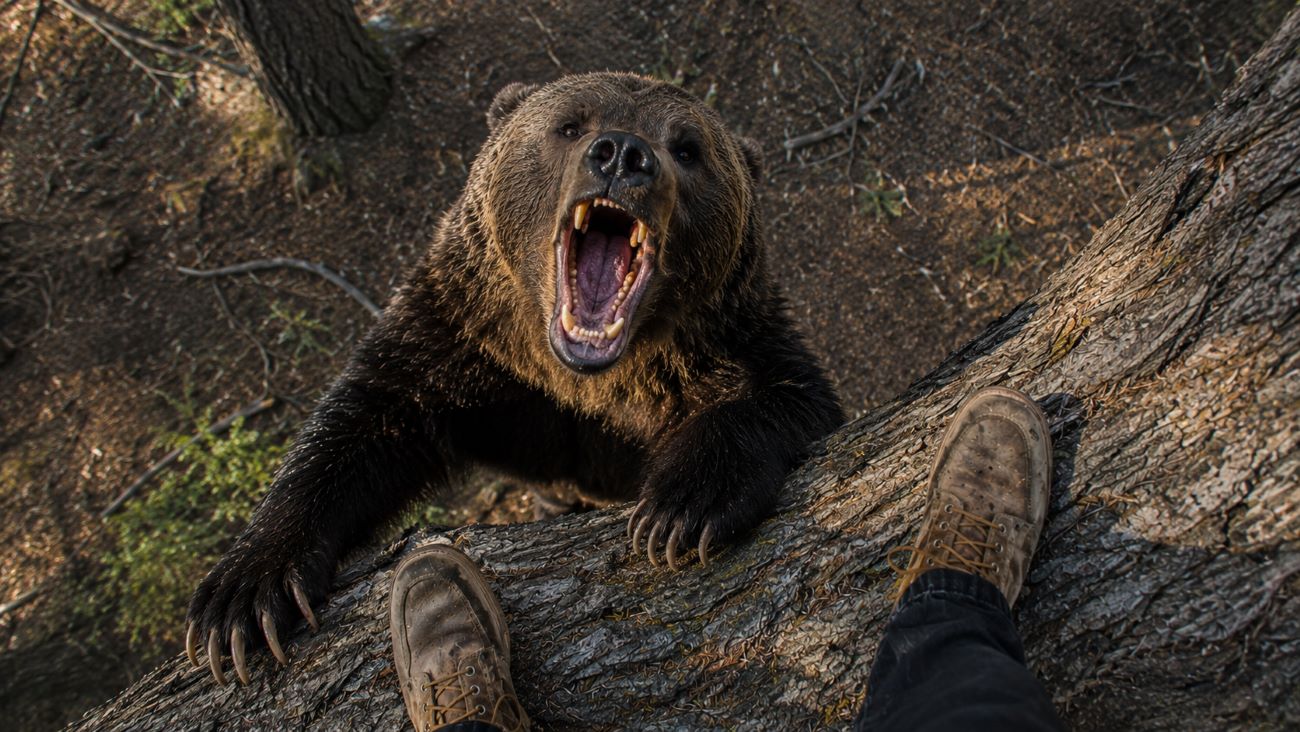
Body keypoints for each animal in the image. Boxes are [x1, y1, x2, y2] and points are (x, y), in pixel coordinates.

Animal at [186, 72, 844, 685]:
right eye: (570, 124)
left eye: (688, 147)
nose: (624, 154)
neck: (584, 377)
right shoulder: (471, 349)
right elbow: (362, 419)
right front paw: (244, 599)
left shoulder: (727, 345)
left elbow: (783, 399)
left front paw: (682, 508)